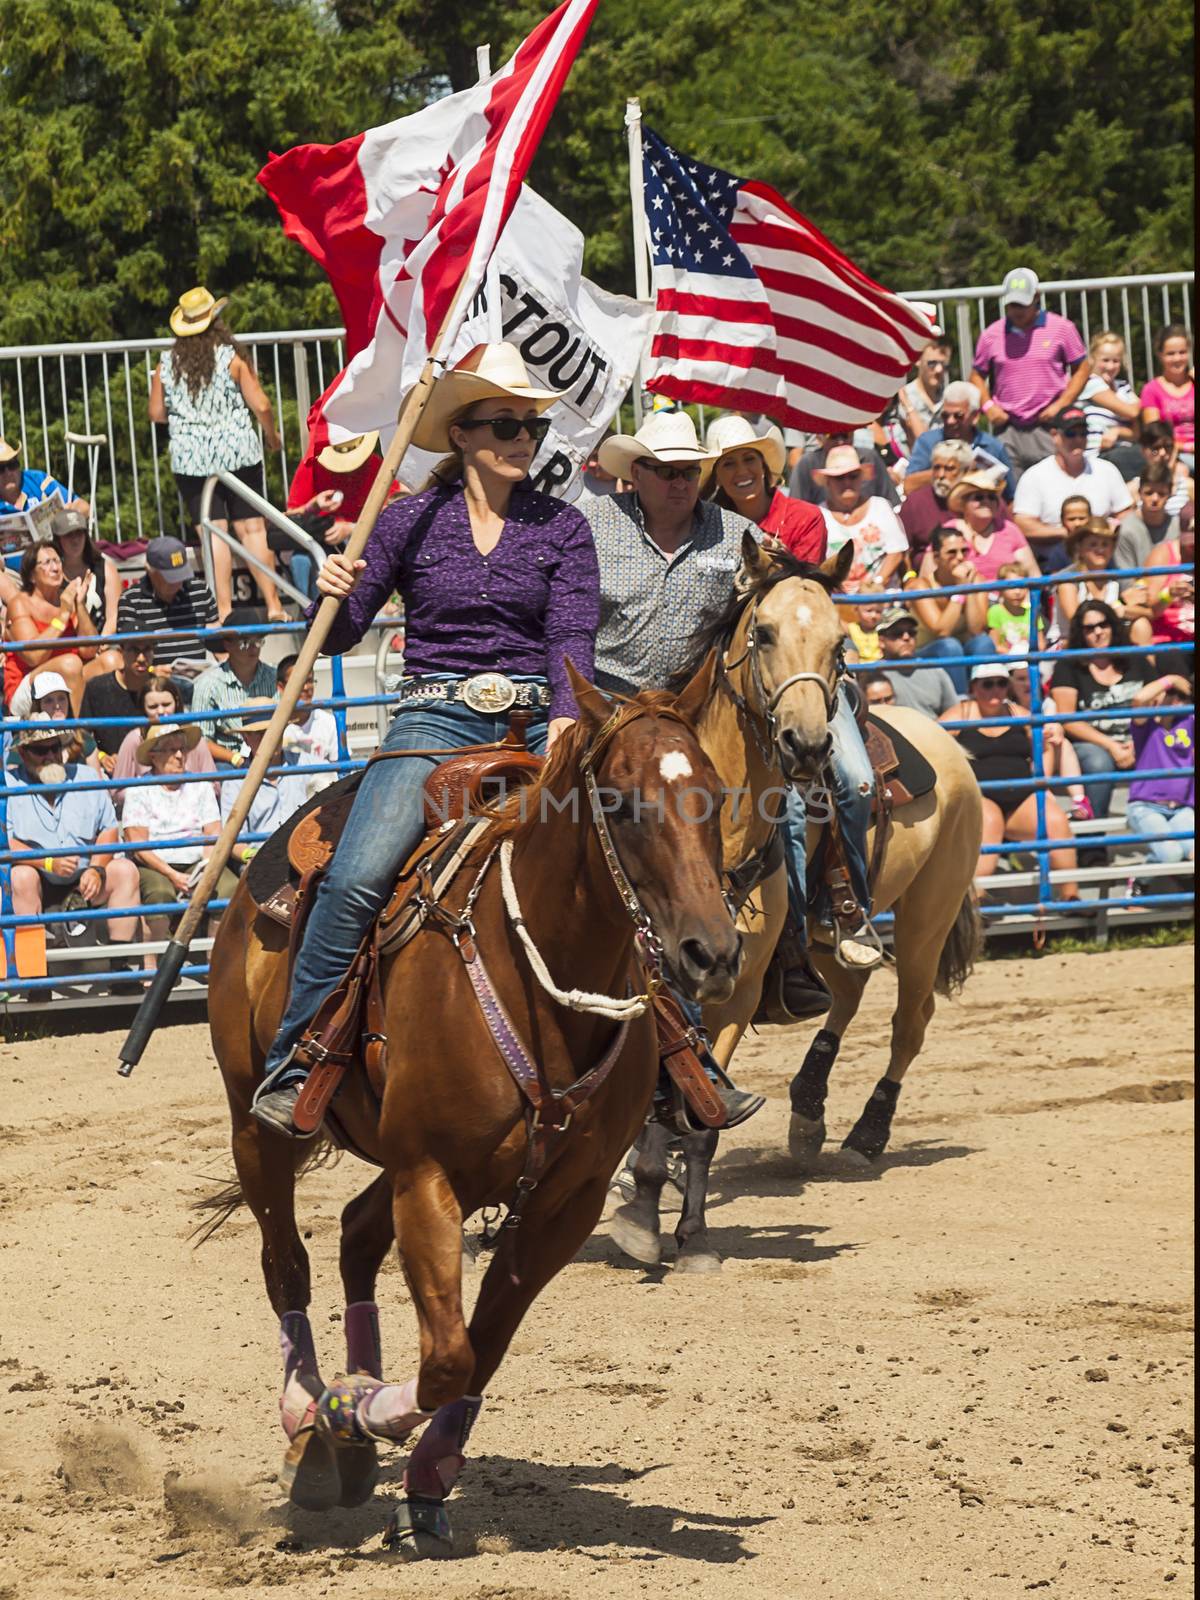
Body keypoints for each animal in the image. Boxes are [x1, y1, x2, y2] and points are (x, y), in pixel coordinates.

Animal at [204, 659, 742, 1548]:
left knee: (355, 1233)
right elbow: (450, 1354)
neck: (541, 982)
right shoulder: (430, 1178)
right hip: (258, 1129)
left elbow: (478, 1348)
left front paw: (425, 1478)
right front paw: (348, 1415)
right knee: (286, 1263)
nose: (713, 952)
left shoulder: (562, 1203)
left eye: (717, 795)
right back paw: (309, 1422)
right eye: (620, 802)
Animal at [611, 540, 985, 1273]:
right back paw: (808, 1109)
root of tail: (946, 741)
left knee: (909, 1021)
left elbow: (694, 1098)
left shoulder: (738, 984)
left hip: (927, 917)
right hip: (821, 937)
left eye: (840, 642)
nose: (807, 745)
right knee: (847, 991)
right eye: (762, 632)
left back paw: (868, 1132)